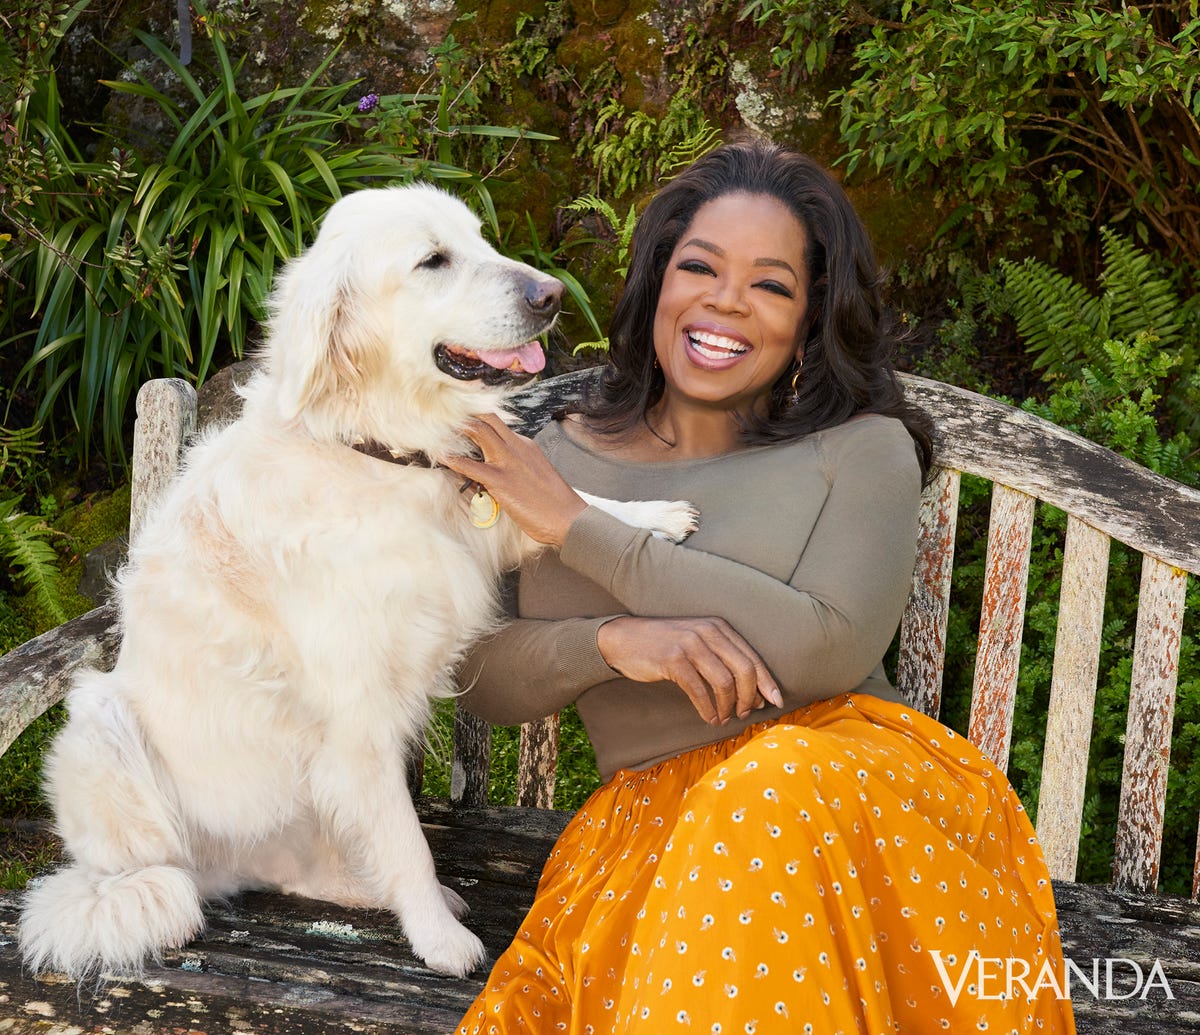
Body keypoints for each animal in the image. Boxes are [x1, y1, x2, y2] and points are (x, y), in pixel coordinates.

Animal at [18, 182, 696, 984]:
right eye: (433, 260)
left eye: (480, 238)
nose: (552, 295)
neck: (378, 450)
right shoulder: (361, 718)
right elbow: (407, 837)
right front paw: (440, 941)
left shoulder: (480, 525)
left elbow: (566, 508)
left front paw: (653, 518)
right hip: (102, 724)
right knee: (162, 875)